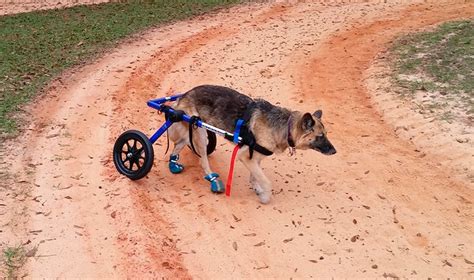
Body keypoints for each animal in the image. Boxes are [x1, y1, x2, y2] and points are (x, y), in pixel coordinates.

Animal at [168, 85, 336, 203]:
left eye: (326, 134)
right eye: (320, 136)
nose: (335, 151)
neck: (285, 126)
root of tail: (183, 95)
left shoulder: (255, 157)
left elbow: (255, 176)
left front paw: (257, 188)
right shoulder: (245, 157)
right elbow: (266, 182)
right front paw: (265, 197)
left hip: (192, 132)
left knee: (178, 145)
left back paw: (173, 164)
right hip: (200, 131)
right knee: (202, 161)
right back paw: (212, 179)